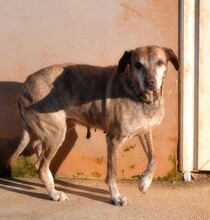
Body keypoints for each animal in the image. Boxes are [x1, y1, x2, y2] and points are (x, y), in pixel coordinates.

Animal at [10, 45, 179, 205]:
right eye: (138, 65)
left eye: (160, 62)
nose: (150, 82)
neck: (140, 95)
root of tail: (24, 86)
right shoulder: (113, 140)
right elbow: (112, 173)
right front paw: (116, 197)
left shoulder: (145, 131)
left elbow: (153, 159)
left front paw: (145, 182)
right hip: (56, 133)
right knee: (40, 166)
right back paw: (54, 193)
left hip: (59, 128)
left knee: (38, 148)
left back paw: (51, 182)